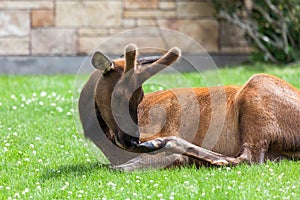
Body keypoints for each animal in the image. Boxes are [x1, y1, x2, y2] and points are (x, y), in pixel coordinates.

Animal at [79, 43, 300, 170]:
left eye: (140, 96)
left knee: (249, 157)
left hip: (258, 92)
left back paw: (164, 143)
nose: (133, 139)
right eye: (117, 94)